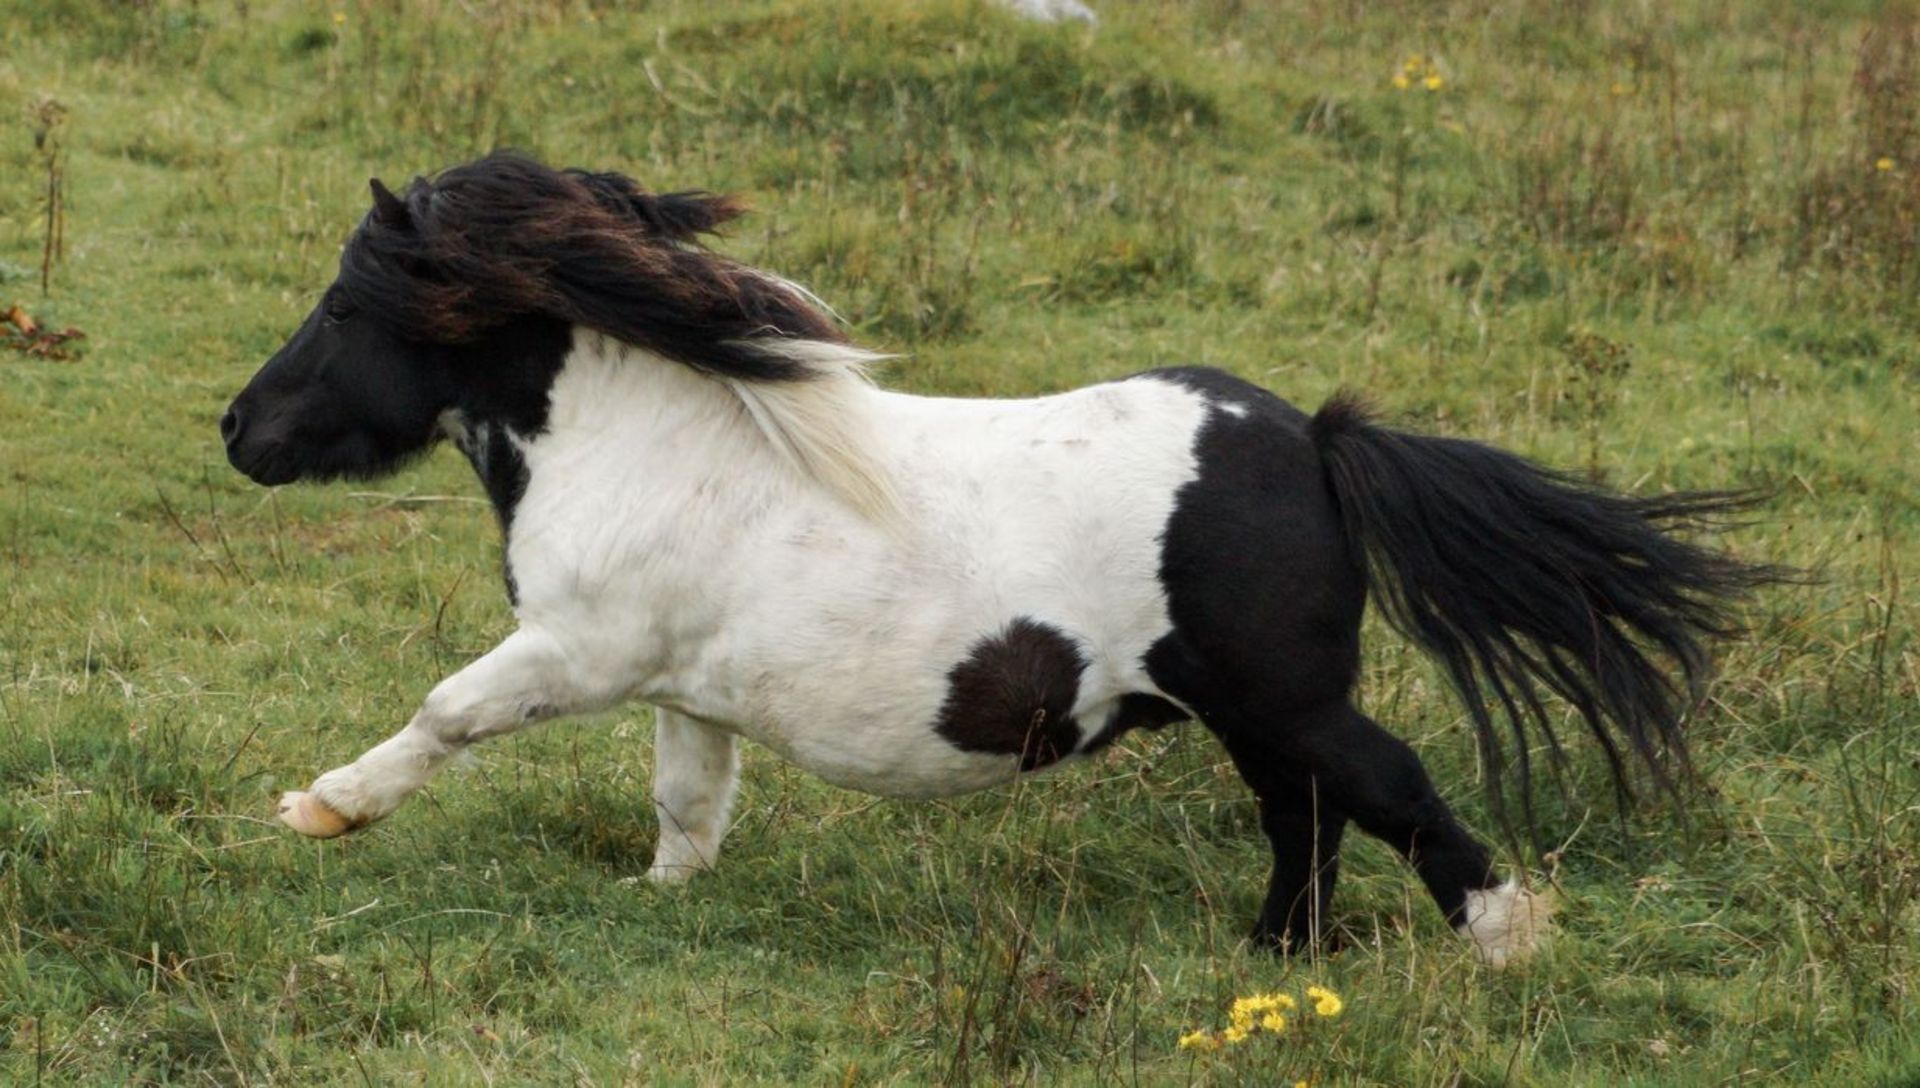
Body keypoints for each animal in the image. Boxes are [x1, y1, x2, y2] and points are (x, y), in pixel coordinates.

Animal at [220, 151, 1766, 963]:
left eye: (346, 304)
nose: (241, 431)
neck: (640, 444)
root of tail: (1314, 444)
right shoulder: (680, 686)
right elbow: (687, 804)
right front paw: (659, 900)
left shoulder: (579, 651)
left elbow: (446, 711)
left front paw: (320, 809)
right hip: (1253, 714)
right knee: (1307, 818)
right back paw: (1278, 957)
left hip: (1284, 697)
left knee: (1384, 795)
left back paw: (1499, 939)